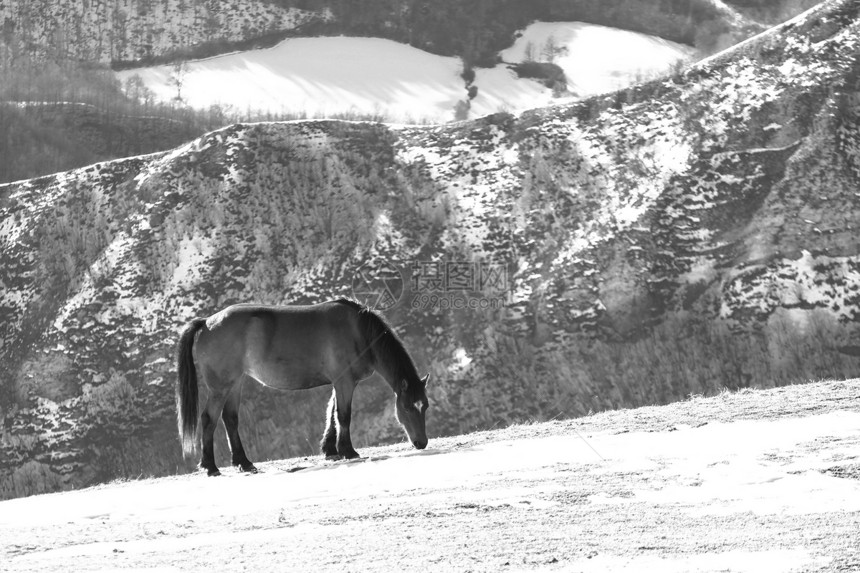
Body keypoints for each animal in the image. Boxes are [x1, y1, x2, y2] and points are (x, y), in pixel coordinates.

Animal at [176, 298, 430, 476]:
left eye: (425, 406)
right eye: (407, 407)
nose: (421, 443)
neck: (358, 331)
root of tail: (206, 323)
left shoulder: (340, 382)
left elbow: (331, 414)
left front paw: (330, 449)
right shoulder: (344, 381)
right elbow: (343, 415)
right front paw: (348, 450)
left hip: (235, 382)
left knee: (230, 419)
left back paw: (244, 463)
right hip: (220, 387)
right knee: (209, 418)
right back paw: (210, 466)